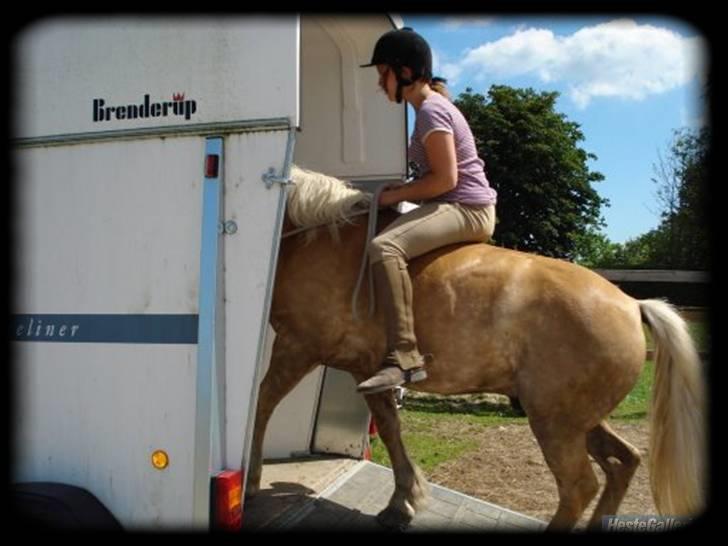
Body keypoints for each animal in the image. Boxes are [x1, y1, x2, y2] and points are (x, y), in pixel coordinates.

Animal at [246, 165, 704, 528]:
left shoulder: (297, 347)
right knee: (624, 462)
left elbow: (260, 405)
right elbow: (392, 430)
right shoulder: (366, 371)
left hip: (555, 422)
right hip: (579, 419)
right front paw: (403, 501)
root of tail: (631, 304)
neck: (323, 237)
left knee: (579, 487)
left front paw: (250, 480)